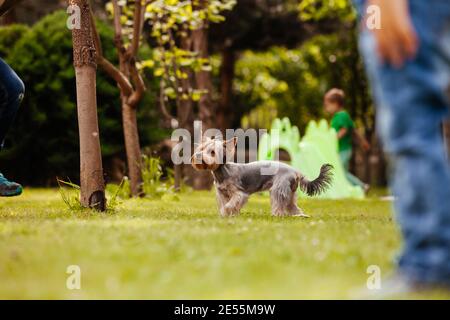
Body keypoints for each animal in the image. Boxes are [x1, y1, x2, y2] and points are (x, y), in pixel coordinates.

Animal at [192, 136, 332, 216]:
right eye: (201, 148)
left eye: (212, 152)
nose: (198, 156)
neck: (222, 172)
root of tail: (296, 171)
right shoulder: (221, 193)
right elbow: (224, 204)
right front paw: (225, 214)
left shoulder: (239, 193)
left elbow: (231, 204)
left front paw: (228, 212)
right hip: (290, 192)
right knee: (292, 205)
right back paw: (297, 215)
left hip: (278, 189)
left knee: (279, 203)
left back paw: (277, 215)